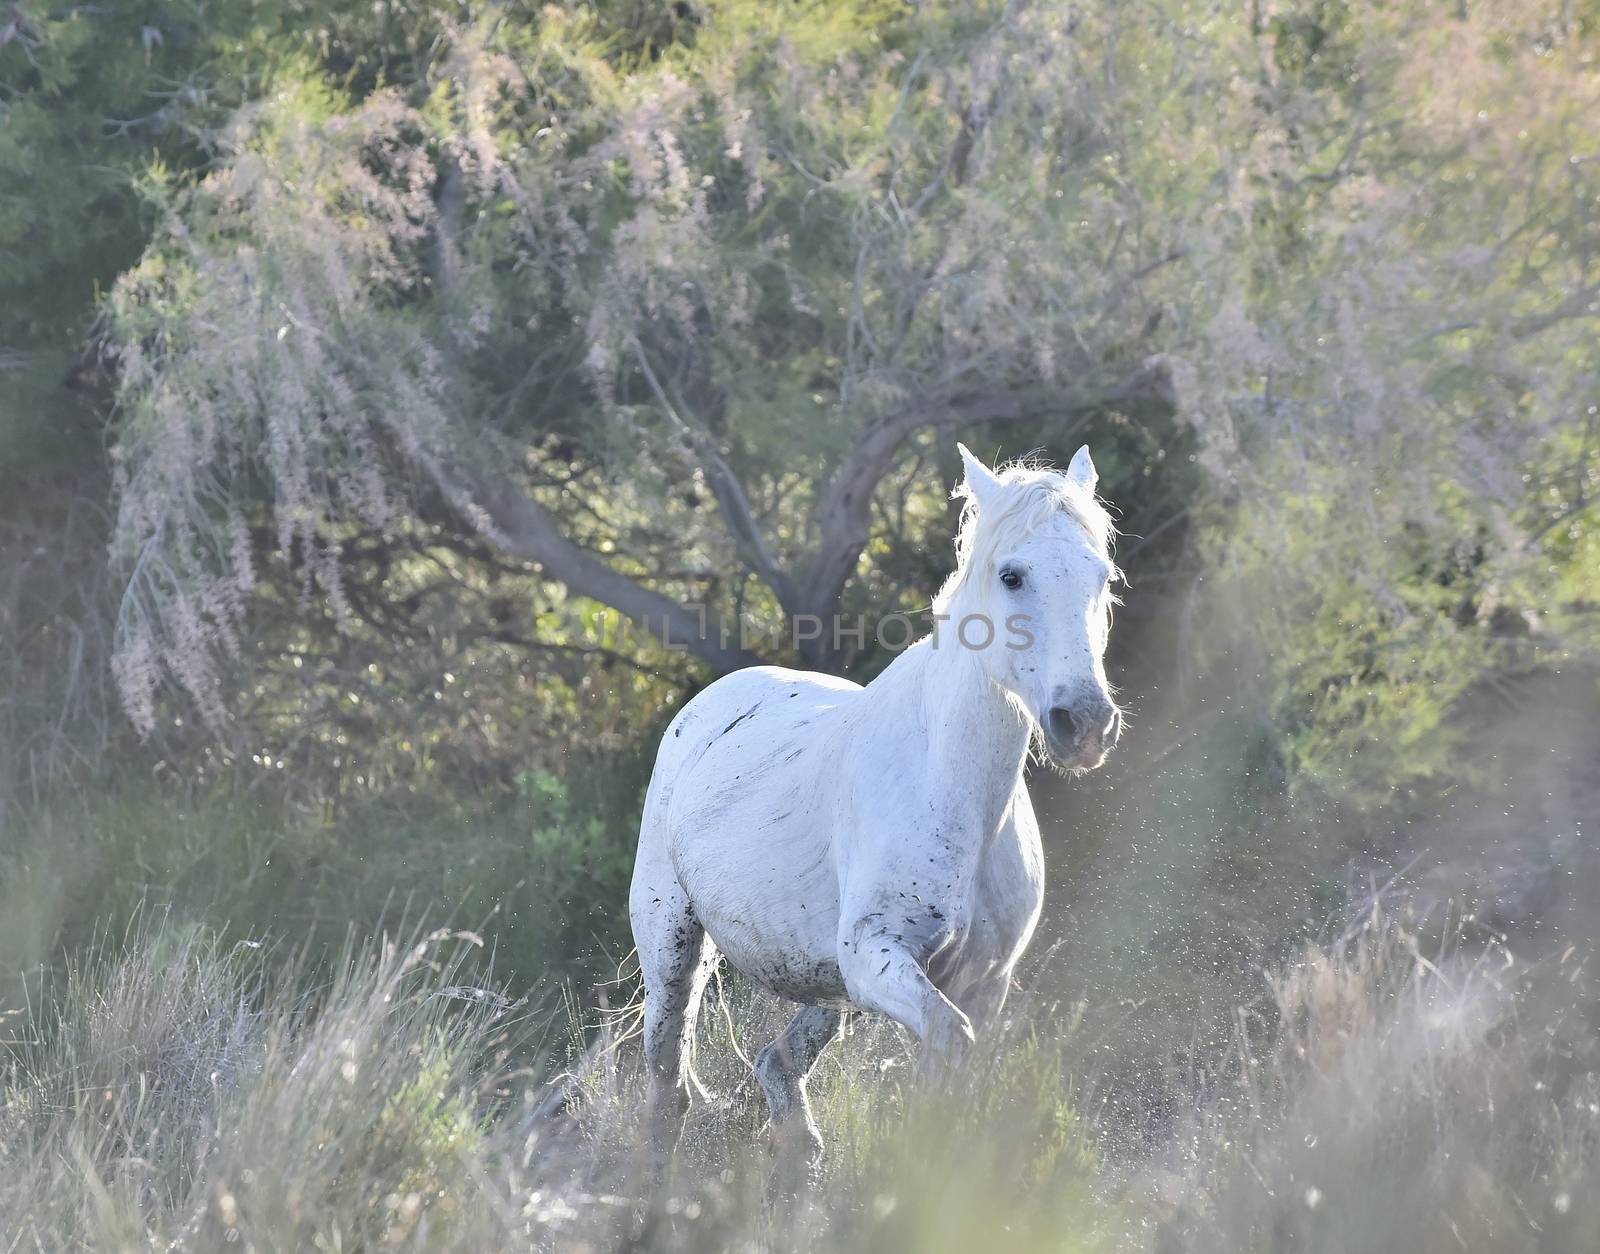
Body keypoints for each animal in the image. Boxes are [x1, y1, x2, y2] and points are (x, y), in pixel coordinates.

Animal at [627, 444, 1126, 1177]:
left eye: (1103, 576)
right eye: (1012, 575)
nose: (1085, 724)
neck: (949, 790)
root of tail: (703, 706)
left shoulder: (982, 982)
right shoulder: (879, 955)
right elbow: (948, 1048)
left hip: (831, 992)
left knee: (778, 1071)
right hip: (674, 955)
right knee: (668, 1094)